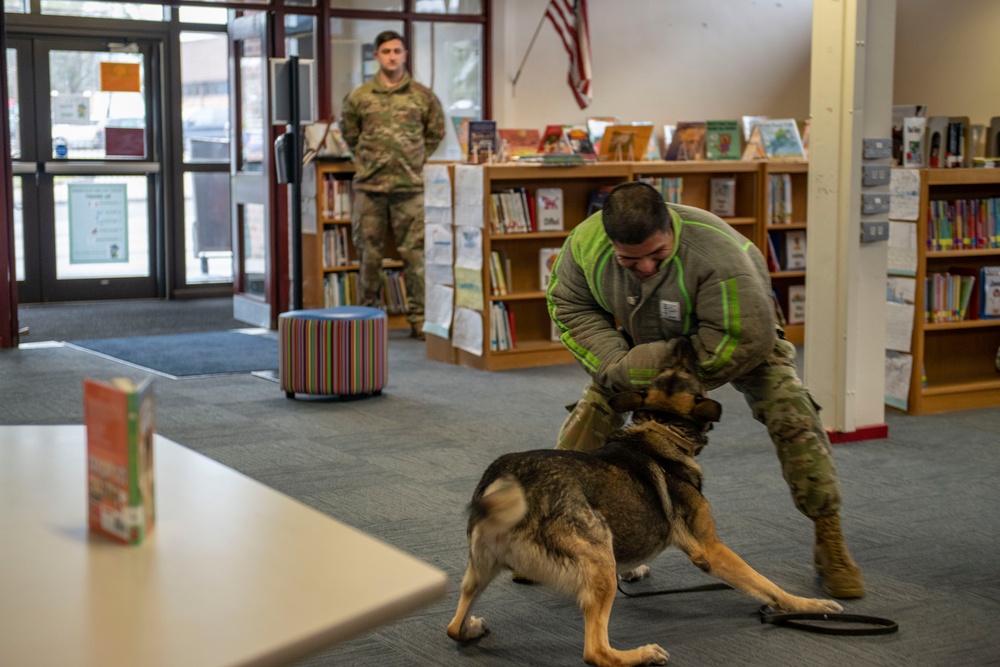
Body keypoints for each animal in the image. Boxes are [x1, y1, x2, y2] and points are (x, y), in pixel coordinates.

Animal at [450, 342, 840, 664]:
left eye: (671, 368)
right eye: (686, 370)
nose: (682, 341)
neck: (662, 426)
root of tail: (506, 480)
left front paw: (635, 569)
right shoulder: (710, 549)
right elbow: (767, 585)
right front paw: (806, 605)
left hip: (480, 571)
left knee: (454, 627)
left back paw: (471, 627)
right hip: (599, 562)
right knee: (596, 652)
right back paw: (641, 654)